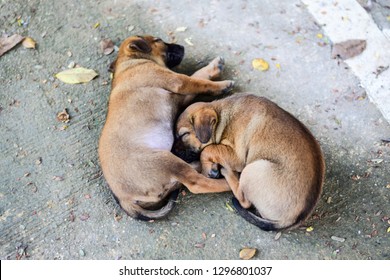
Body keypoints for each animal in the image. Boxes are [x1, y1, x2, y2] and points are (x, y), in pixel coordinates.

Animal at [175, 94, 324, 232]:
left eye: (184, 135)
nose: (174, 152)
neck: (223, 118)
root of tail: (289, 221)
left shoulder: (237, 157)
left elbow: (208, 149)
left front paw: (208, 170)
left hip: (253, 169)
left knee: (244, 201)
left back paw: (227, 172)